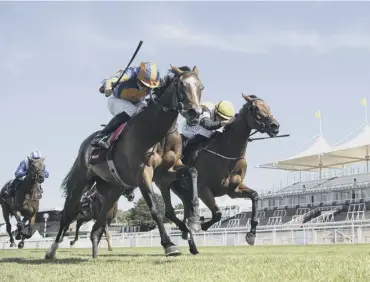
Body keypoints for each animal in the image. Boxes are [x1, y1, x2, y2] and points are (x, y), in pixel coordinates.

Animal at [45, 65, 205, 258]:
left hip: (112, 190)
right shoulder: (143, 172)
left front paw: (194, 220)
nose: (195, 113)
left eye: (201, 87)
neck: (157, 130)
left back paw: (94, 252)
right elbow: (156, 209)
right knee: (67, 214)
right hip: (80, 182)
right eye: (180, 85)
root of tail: (85, 145)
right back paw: (51, 250)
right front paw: (169, 244)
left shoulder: (168, 171)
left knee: (98, 226)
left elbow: (192, 172)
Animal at [159, 93, 280, 252]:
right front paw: (202, 224)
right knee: (172, 210)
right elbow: (217, 214)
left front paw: (251, 234)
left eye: (268, 107)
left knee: (186, 206)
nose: (275, 126)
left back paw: (191, 241)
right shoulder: (203, 189)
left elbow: (254, 196)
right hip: (168, 184)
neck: (226, 152)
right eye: (254, 108)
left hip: (183, 190)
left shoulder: (233, 190)